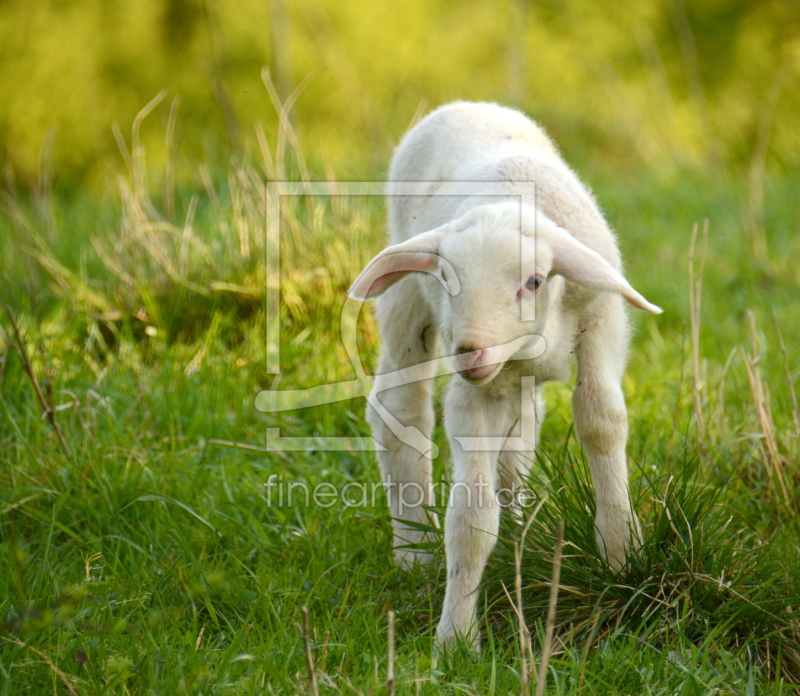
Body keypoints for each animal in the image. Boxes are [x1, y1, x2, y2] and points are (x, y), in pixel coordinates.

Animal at [350, 100, 664, 648]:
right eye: (445, 276)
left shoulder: (601, 320)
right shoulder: (474, 393)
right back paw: (414, 550)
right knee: (400, 413)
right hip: (406, 301)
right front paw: (456, 637)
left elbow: (601, 418)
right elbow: (472, 518)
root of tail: (464, 104)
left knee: (521, 434)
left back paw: (519, 532)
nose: (468, 352)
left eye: (533, 282)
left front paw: (620, 554)